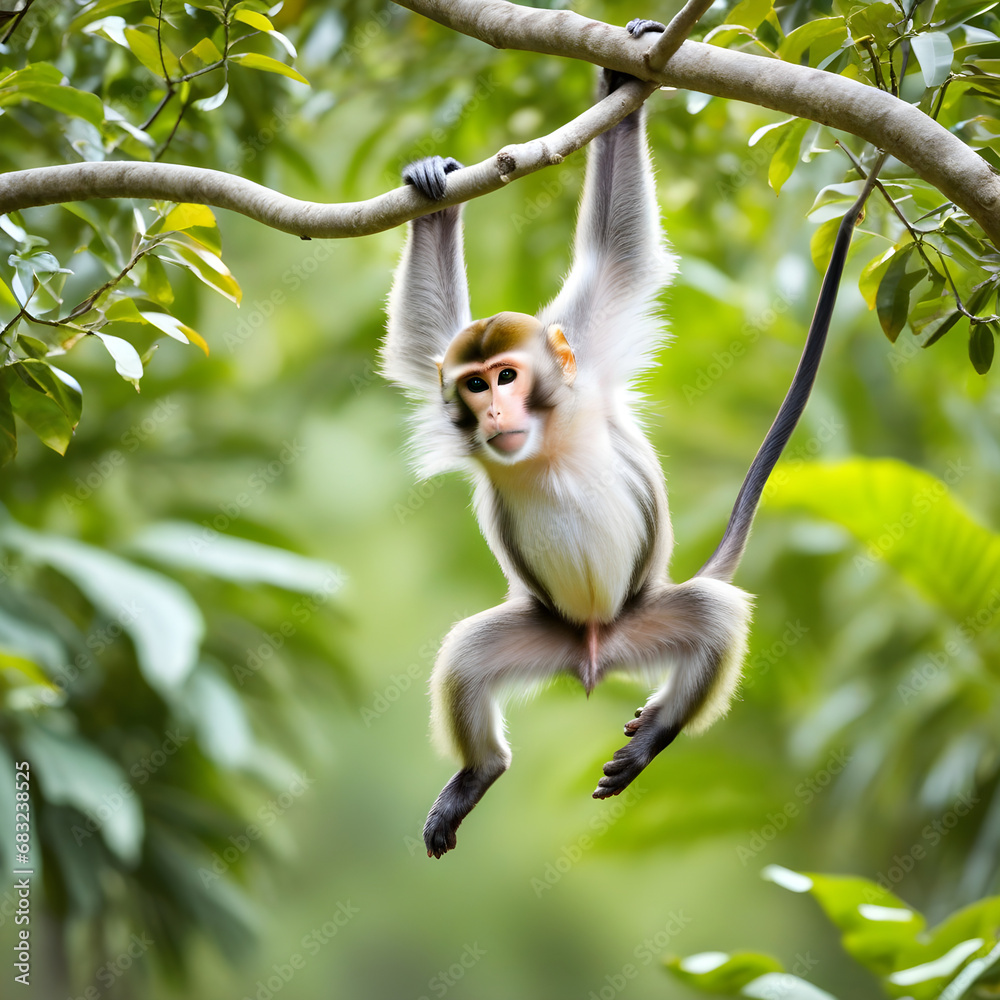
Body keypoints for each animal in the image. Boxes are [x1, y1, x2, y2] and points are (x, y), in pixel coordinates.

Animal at [382, 20, 880, 858]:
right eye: (474, 386)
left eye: (507, 377)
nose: (492, 415)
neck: (548, 438)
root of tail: (595, 650)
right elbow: (425, 341)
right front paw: (433, 196)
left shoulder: (589, 350)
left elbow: (616, 252)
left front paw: (623, 86)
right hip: (545, 631)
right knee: (467, 657)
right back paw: (478, 773)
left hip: (646, 612)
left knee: (713, 613)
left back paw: (659, 733)